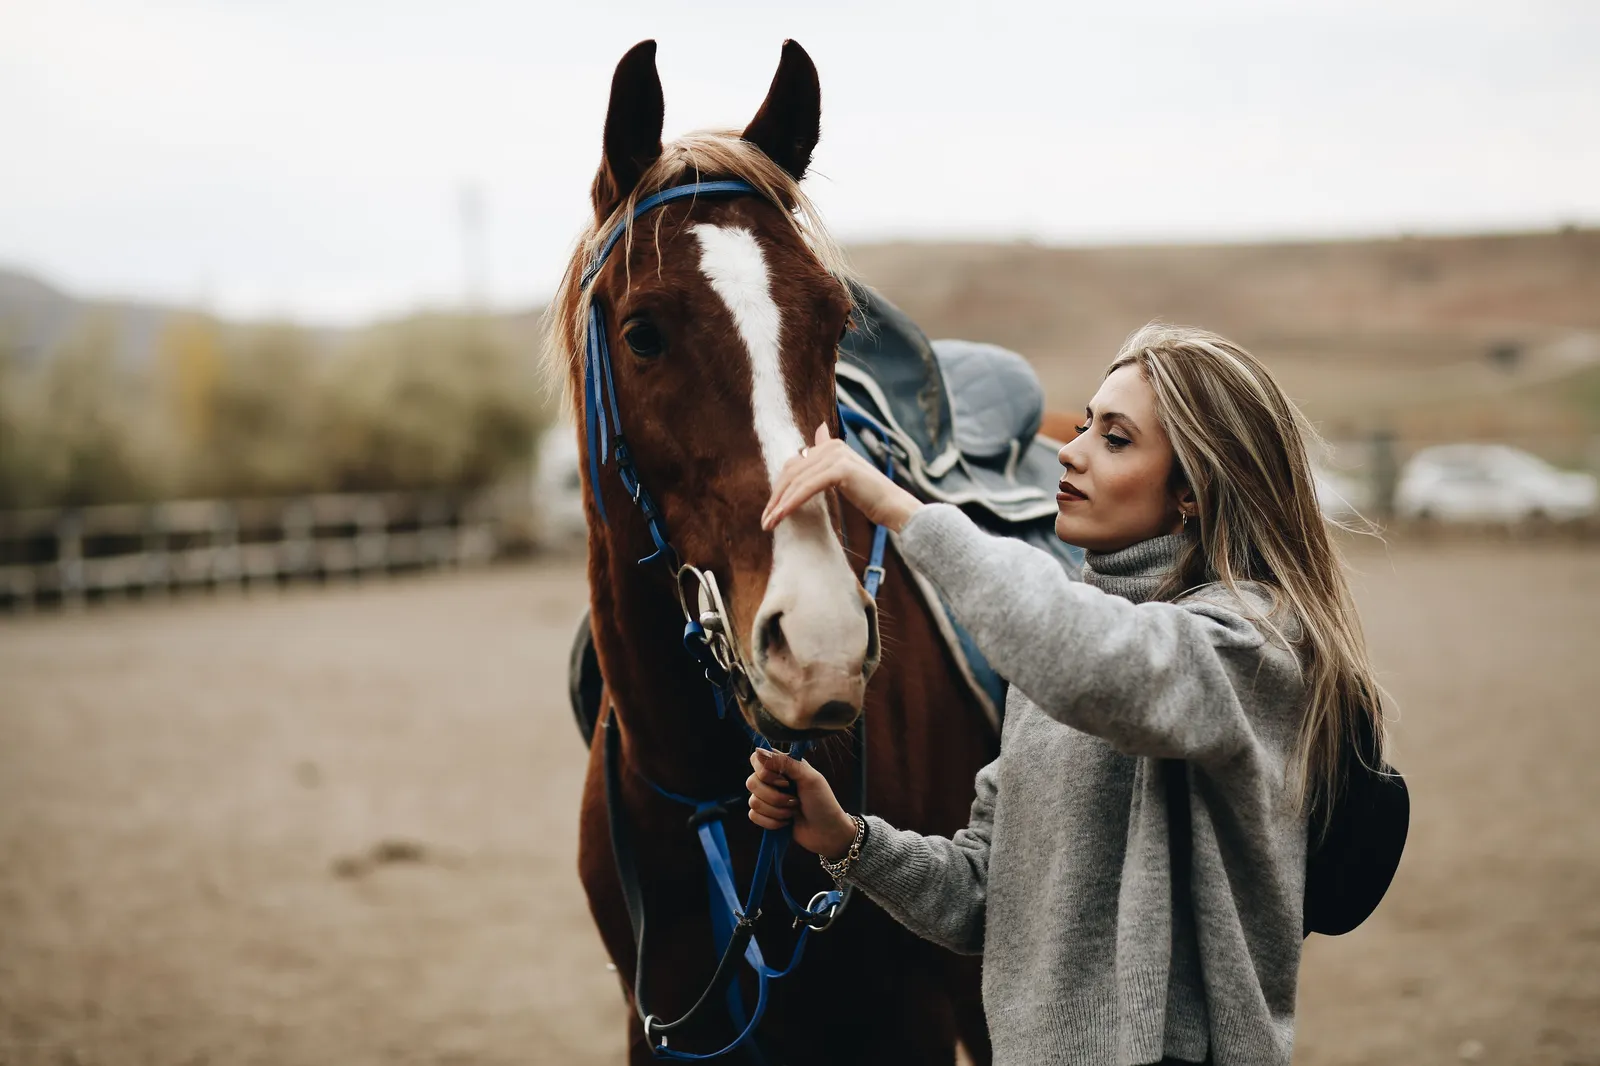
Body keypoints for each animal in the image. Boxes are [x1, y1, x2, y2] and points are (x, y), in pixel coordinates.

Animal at [546, 40, 998, 1064]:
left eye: (834, 321)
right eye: (642, 333)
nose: (822, 644)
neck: (706, 798)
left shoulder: (909, 1024)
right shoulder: (658, 1026)